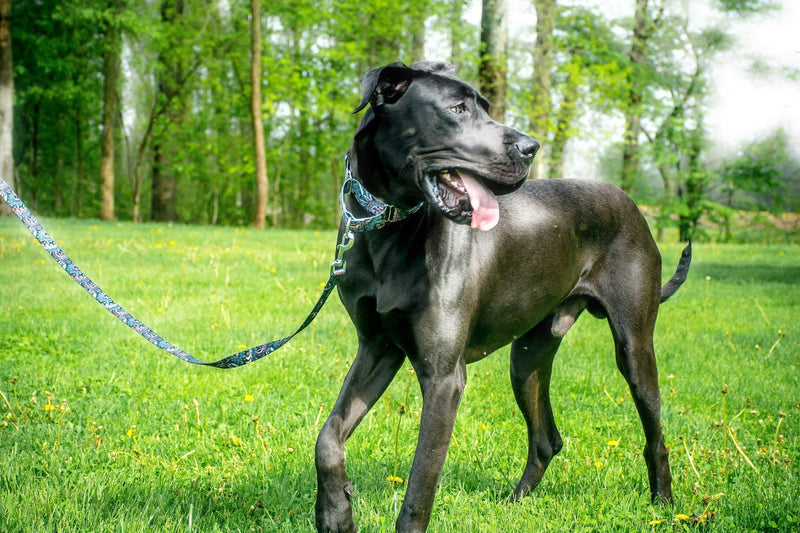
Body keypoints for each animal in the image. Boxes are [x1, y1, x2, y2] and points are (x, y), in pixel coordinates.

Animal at [316, 61, 692, 532]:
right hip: (527, 357)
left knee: (655, 436)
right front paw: (335, 512)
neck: (388, 222)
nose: (531, 147)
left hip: (634, 349)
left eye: (485, 107)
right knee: (547, 438)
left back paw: (665, 505)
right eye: (457, 109)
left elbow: (420, 485)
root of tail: (632, 205)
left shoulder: (444, 378)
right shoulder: (377, 348)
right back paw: (514, 503)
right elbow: (327, 438)